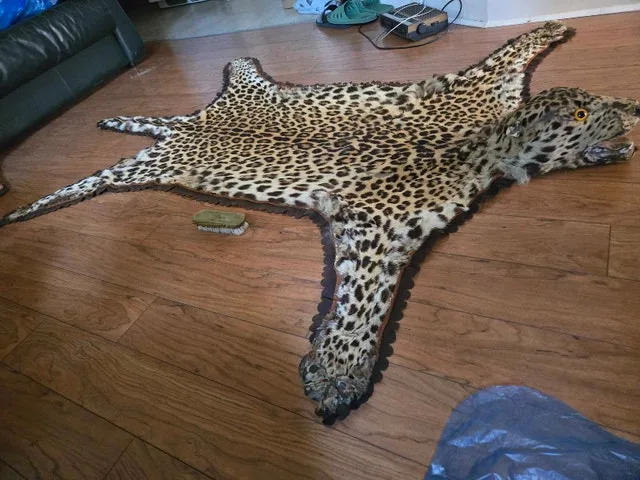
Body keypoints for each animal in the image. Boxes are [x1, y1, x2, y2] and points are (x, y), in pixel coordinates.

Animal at [1, 21, 638, 423]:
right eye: (583, 111)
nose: (633, 108)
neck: (485, 142)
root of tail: (191, 126)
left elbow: (520, 49)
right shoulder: (379, 229)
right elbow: (362, 307)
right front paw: (339, 373)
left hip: (195, 124)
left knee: (163, 116)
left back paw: (114, 119)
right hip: (136, 170)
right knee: (84, 182)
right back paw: (18, 209)